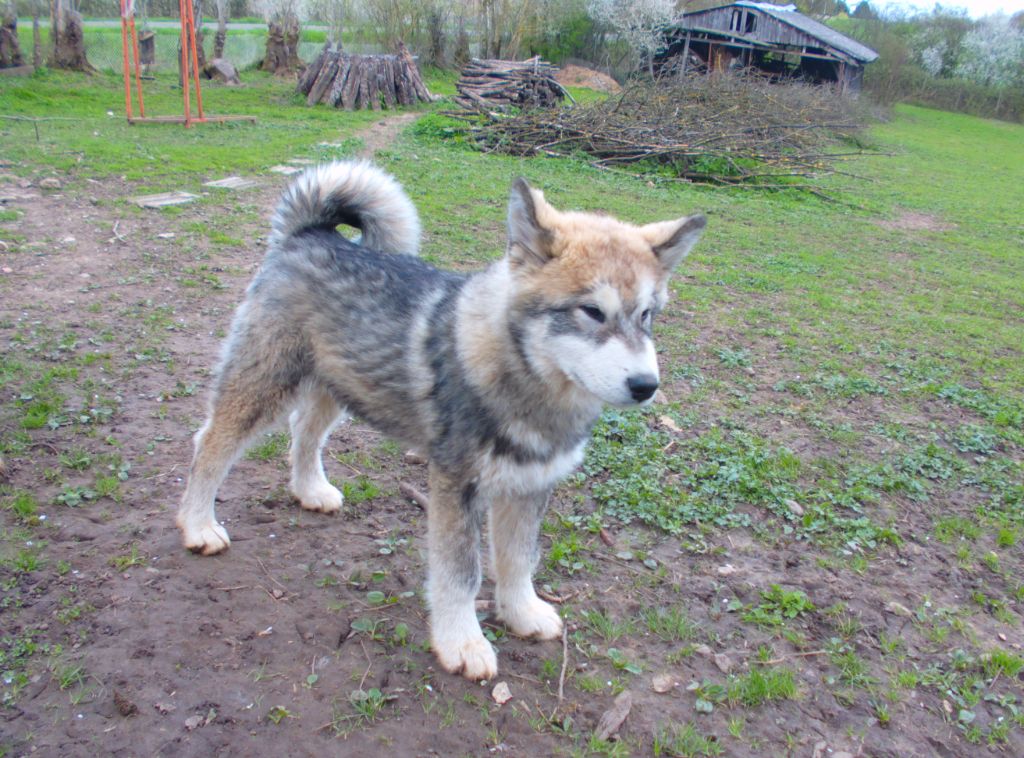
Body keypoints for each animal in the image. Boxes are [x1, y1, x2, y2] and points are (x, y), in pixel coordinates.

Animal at [176, 161, 704, 680]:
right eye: (592, 311)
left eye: (647, 315)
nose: (646, 385)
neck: (526, 384)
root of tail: (310, 234)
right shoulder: (456, 484)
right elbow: (460, 574)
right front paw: (462, 642)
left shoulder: (530, 484)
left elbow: (519, 559)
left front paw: (521, 613)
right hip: (262, 386)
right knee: (210, 443)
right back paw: (198, 525)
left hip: (340, 387)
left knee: (303, 434)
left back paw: (310, 491)